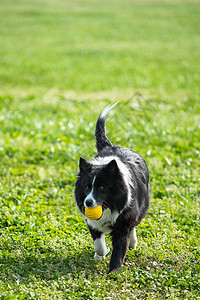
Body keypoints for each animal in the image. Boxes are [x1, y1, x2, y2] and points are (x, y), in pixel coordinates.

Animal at [75, 103, 150, 274]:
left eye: (102, 187)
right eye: (87, 186)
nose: (88, 203)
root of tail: (112, 145)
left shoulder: (124, 223)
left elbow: (120, 248)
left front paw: (114, 272)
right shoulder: (92, 222)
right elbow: (99, 244)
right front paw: (101, 254)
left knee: (135, 225)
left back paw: (133, 242)